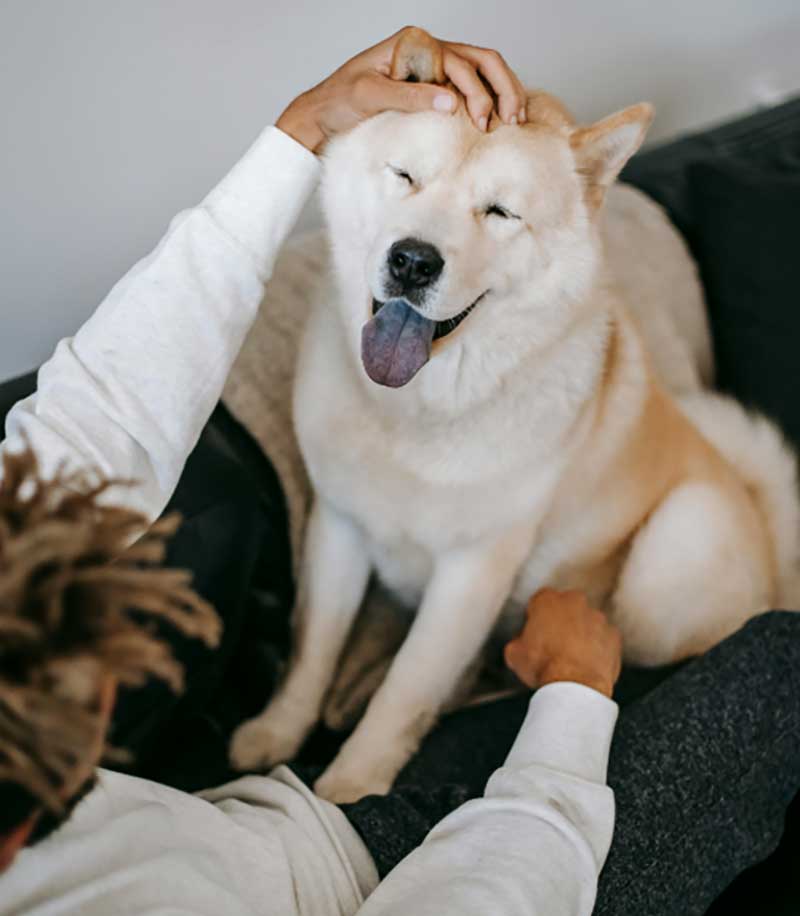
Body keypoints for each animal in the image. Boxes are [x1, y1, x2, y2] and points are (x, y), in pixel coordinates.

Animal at [228, 34, 796, 800]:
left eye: (498, 212)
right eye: (406, 176)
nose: (412, 261)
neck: (419, 410)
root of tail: (773, 540)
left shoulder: (471, 571)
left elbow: (405, 687)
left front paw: (349, 787)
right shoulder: (338, 524)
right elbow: (312, 646)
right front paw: (279, 732)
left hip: (670, 555)